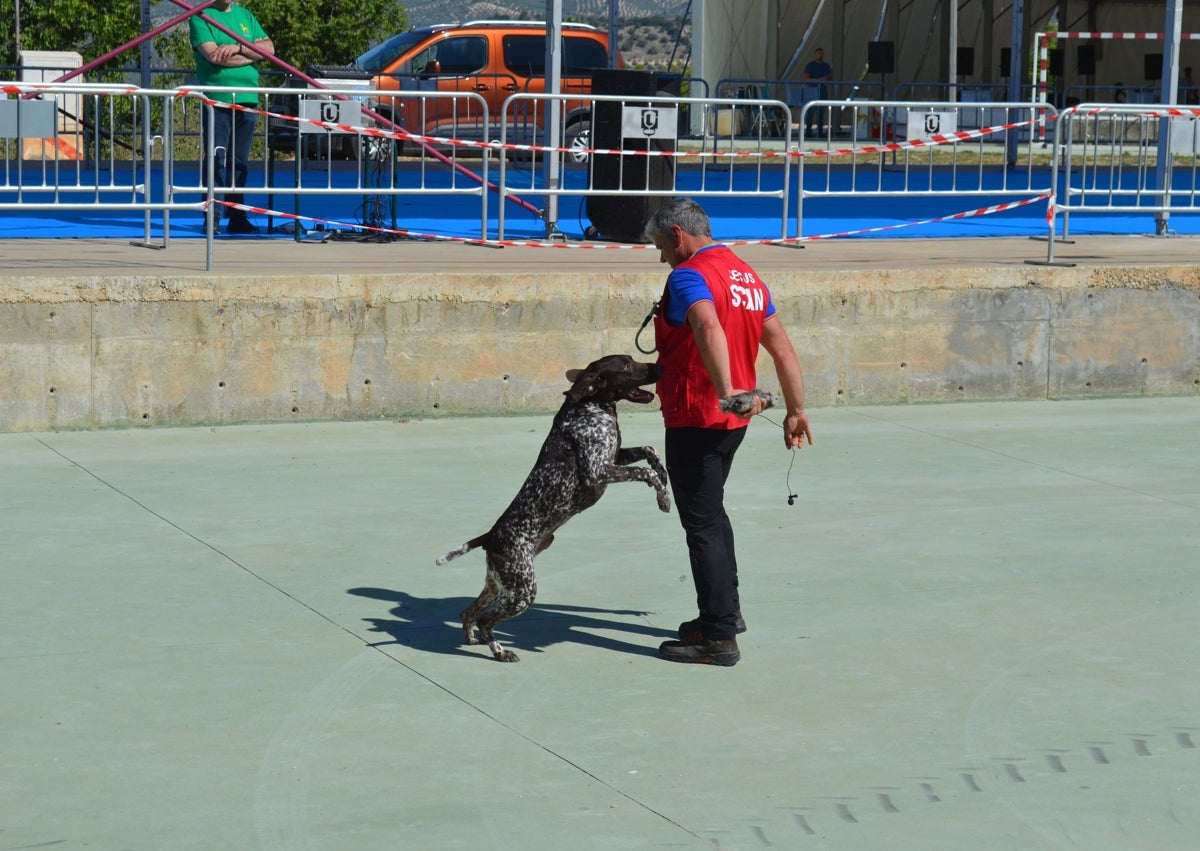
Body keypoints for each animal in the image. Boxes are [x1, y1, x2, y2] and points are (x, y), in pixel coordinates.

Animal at [436, 355, 672, 662]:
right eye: (626, 366)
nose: (660, 367)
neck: (592, 406)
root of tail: (490, 536)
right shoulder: (598, 470)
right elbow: (645, 471)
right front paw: (662, 496)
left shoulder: (614, 456)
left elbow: (650, 450)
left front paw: (664, 479)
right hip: (523, 590)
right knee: (486, 620)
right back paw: (500, 652)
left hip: (498, 585)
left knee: (468, 612)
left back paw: (472, 640)